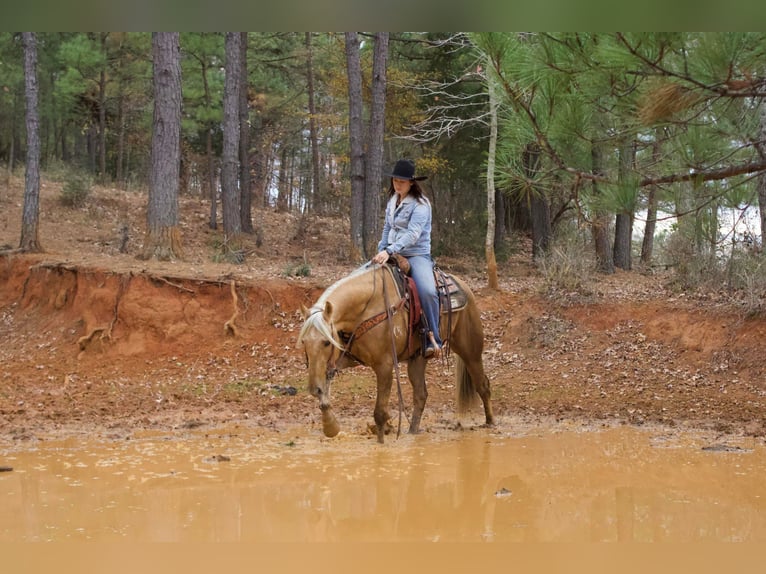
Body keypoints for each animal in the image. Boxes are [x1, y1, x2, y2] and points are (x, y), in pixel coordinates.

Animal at [296, 262, 496, 446]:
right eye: (304, 342)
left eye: (326, 342)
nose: (312, 389)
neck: (365, 308)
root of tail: (463, 285)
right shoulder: (343, 359)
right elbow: (325, 390)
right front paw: (330, 425)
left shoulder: (384, 366)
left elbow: (379, 412)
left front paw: (381, 441)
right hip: (418, 358)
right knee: (421, 395)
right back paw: (413, 431)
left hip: (470, 350)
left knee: (482, 385)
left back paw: (490, 423)